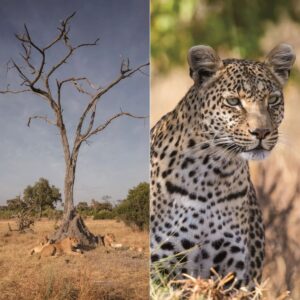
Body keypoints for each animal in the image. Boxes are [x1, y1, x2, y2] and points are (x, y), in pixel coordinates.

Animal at [150, 43, 296, 290]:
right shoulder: (165, 267)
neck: (213, 173)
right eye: (234, 102)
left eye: (273, 100)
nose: (261, 132)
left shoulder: (233, 274)